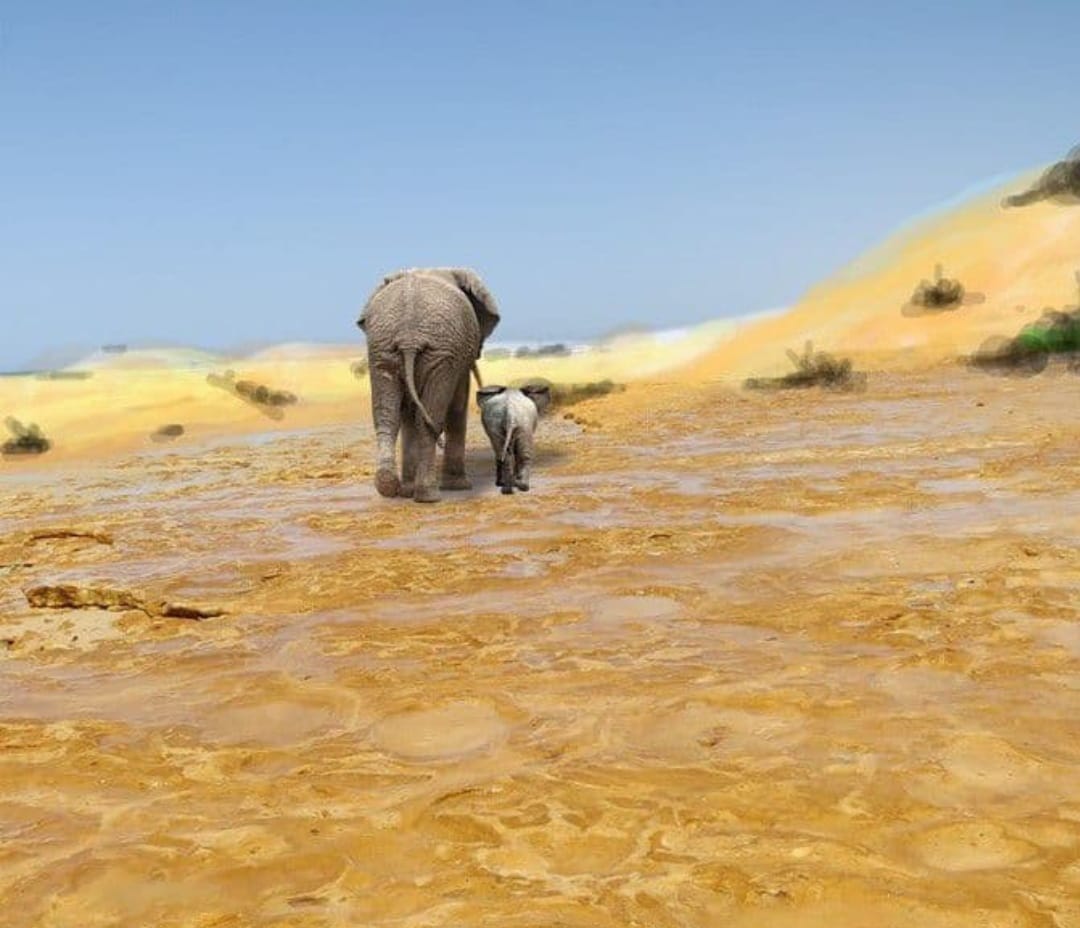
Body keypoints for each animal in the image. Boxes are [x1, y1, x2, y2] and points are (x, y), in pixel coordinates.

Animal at [358, 264, 501, 503]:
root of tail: (409, 337)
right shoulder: (456, 357)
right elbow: (458, 404)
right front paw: (459, 487)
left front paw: (406, 491)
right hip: (440, 353)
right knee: (431, 416)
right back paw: (429, 496)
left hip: (382, 349)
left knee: (388, 416)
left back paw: (390, 486)